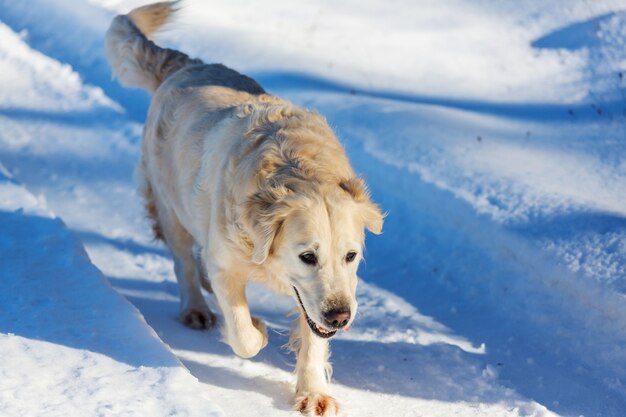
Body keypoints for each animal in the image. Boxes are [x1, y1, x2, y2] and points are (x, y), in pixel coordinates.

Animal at [105, 2, 382, 412]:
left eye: (351, 256)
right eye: (307, 256)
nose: (341, 317)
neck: (295, 166)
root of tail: (186, 65)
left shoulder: (319, 297)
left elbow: (313, 338)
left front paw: (313, 393)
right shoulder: (227, 264)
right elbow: (242, 334)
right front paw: (260, 329)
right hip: (172, 206)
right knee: (184, 262)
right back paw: (196, 308)